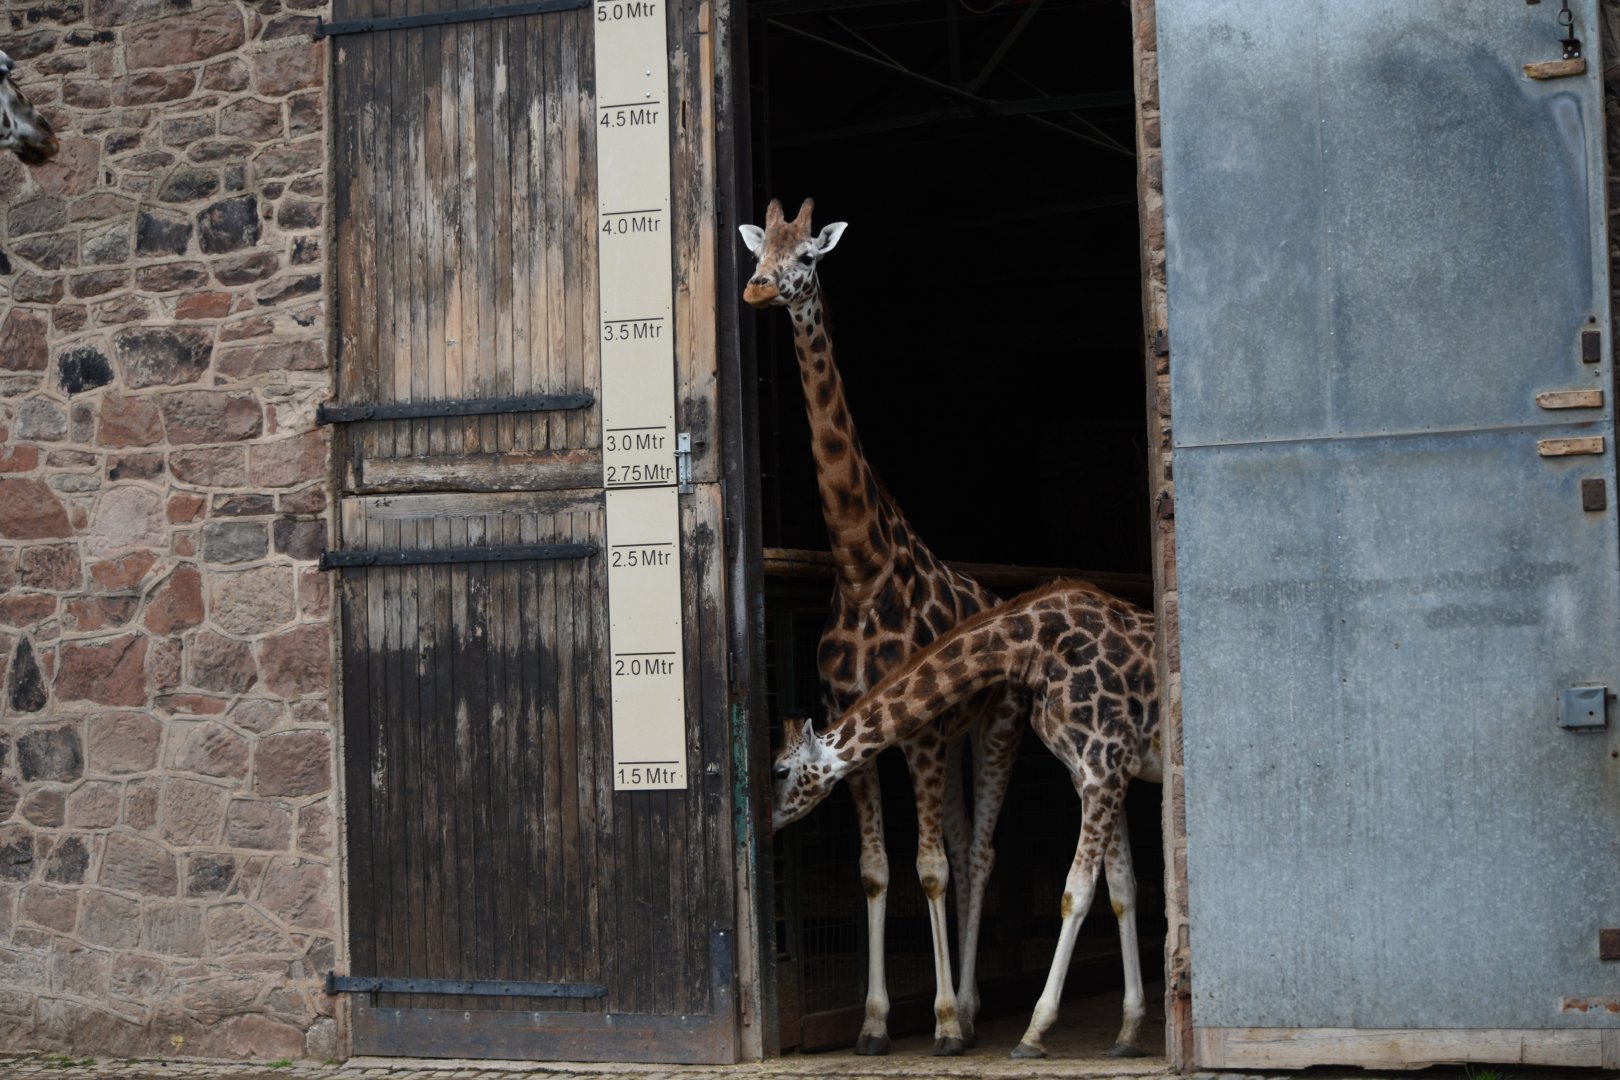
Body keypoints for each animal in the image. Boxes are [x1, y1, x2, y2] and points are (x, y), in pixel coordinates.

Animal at [741, 197, 1027, 1055]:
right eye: (758, 251)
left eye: (807, 257)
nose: (757, 290)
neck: (865, 568)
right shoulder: (856, 731)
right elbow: (875, 870)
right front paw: (874, 1022)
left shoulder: (921, 734)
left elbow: (930, 868)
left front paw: (941, 1023)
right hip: (958, 737)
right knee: (963, 841)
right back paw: (972, 1001)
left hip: (994, 727)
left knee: (978, 849)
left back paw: (967, 1008)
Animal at [772, 578, 1161, 1059]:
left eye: (779, 771)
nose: (768, 820)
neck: (1031, 646)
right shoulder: (1100, 771)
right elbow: (1123, 888)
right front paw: (1129, 1033)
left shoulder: (1103, 766)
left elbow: (1077, 892)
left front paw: (1032, 1033)